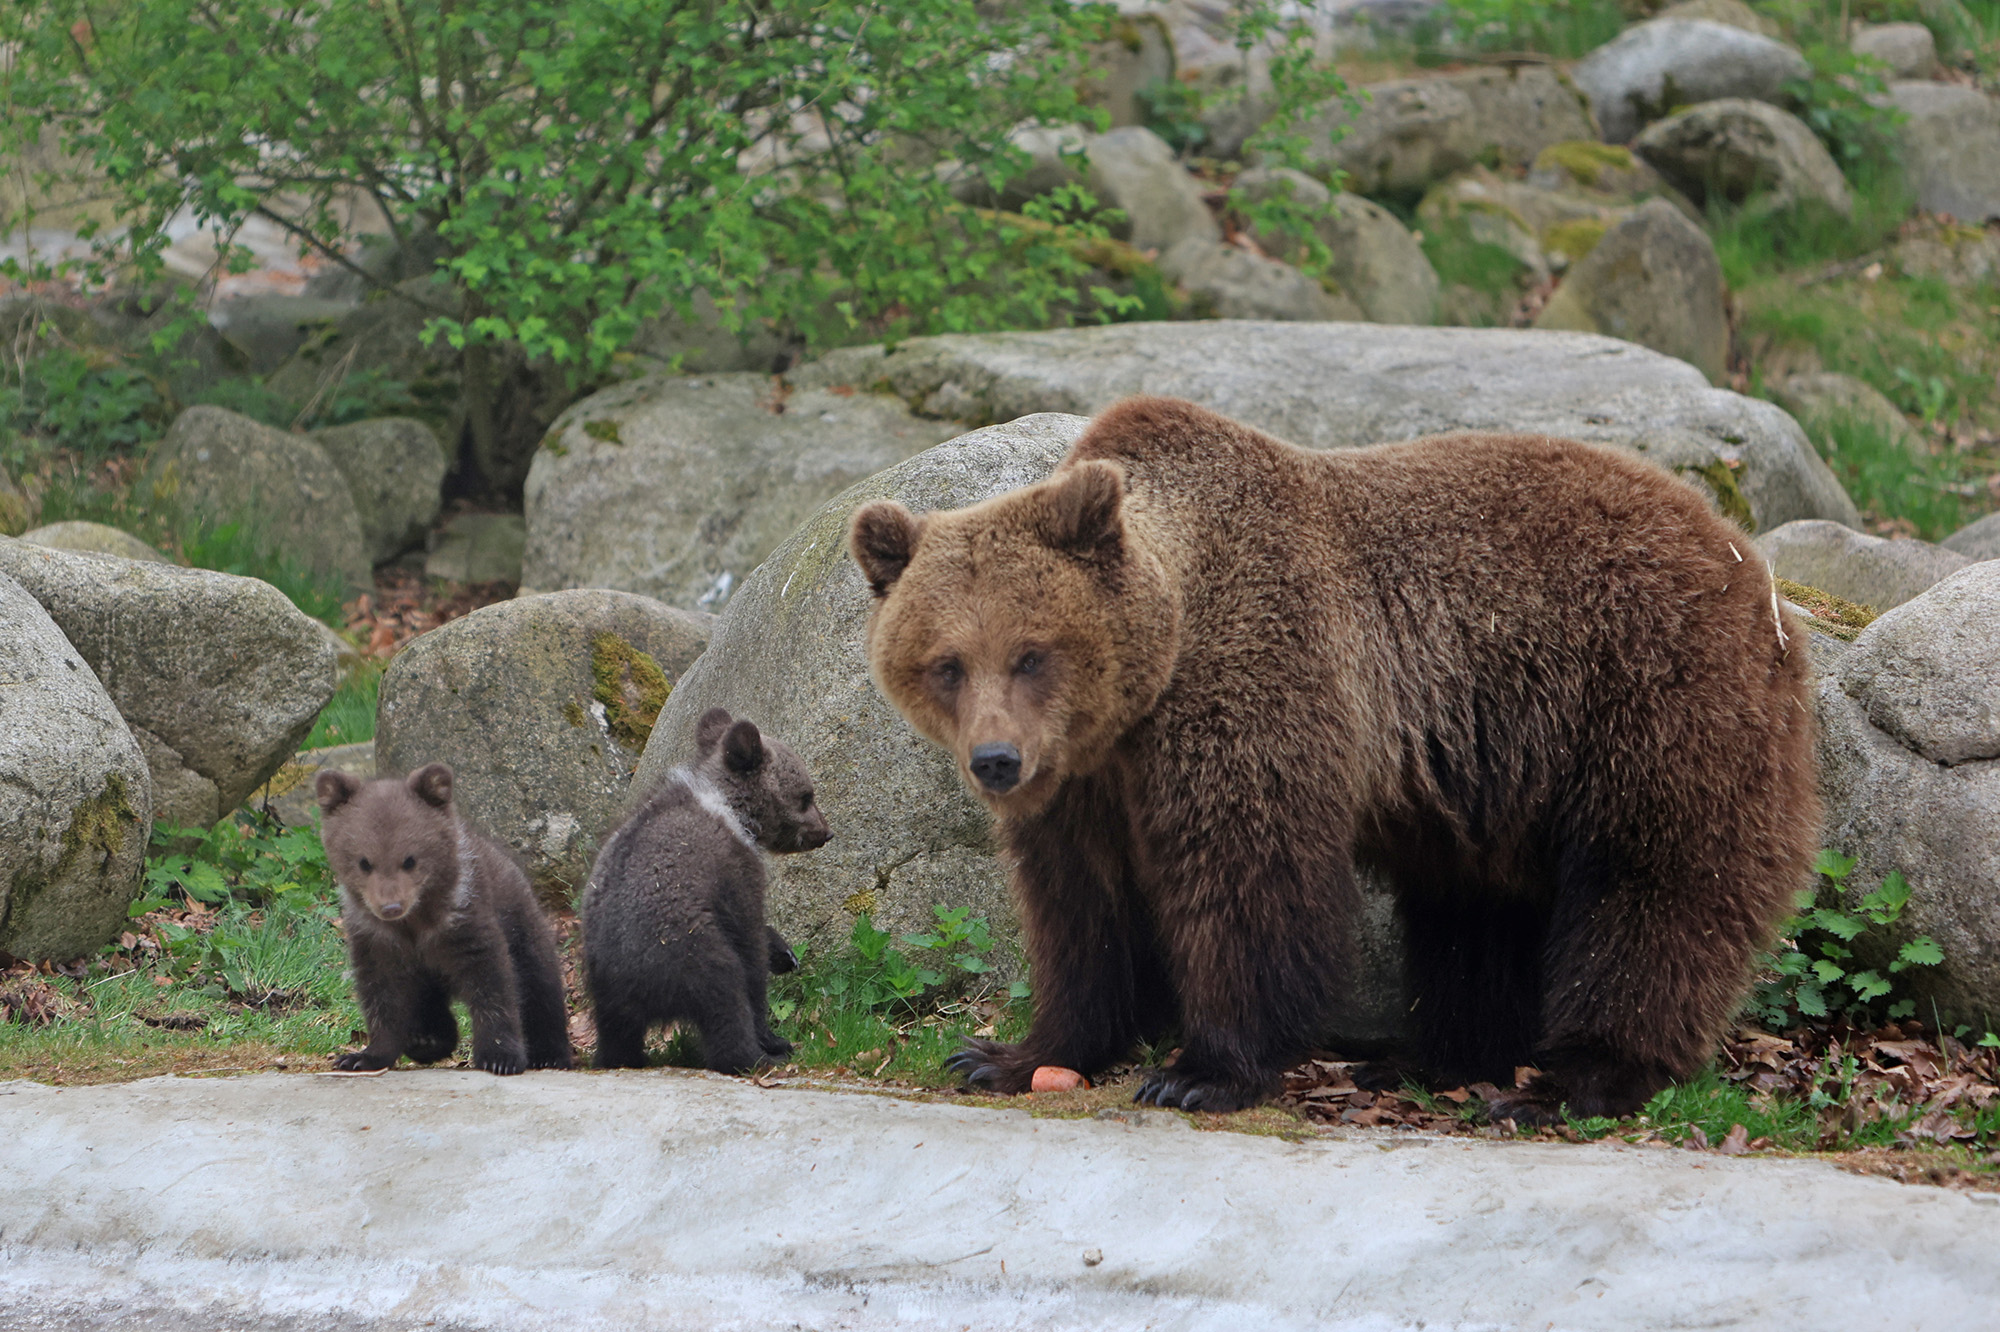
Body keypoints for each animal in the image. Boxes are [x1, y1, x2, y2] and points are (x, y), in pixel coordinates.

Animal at [316, 764, 572, 1076]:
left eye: (410, 859)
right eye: (364, 862)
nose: (391, 907)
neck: (416, 922)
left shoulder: (465, 923)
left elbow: (493, 985)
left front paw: (500, 1056)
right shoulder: (377, 940)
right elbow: (382, 995)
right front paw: (362, 1056)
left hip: (522, 924)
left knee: (540, 983)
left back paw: (549, 1054)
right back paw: (426, 1041)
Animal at [581, 707, 830, 1073]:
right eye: (806, 796)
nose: (825, 833)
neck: (731, 809)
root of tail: (630, 985)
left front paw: (785, 952)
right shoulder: (734, 871)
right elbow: (750, 941)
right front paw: (773, 1035)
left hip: (603, 988)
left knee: (617, 1036)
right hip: (688, 952)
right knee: (725, 1000)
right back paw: (759, 1056)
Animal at [848, 396, 1818, 1122]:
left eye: (1031, 652)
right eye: (946, 662)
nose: (996, 761)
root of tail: (1743, 551)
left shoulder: (1255, 684)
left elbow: (1249, 882)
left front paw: (1201, 1071)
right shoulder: (1086, 784)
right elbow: (1084, 911)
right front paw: (1006, 1055)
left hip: (1644, 693)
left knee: (1652, 882)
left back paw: (1571, 1077)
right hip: (1500, 778)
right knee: (1476, 913)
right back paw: (1442, 1058)